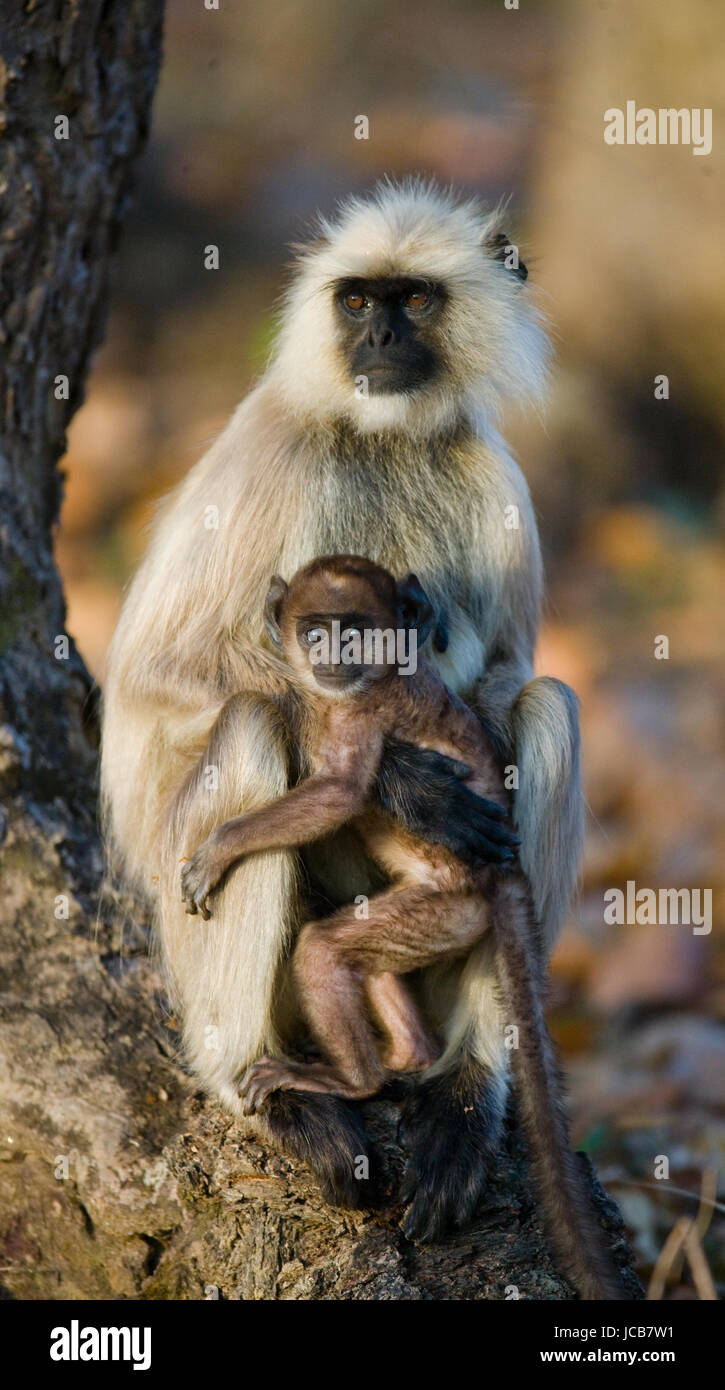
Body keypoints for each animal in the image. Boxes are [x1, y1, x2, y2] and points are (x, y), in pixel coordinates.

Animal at [102, 179, 580, 1245]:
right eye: (357, 301)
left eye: (413, 298)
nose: (380, 338)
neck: (384, 437)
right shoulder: (269, 450)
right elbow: (160, 677)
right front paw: (406, 781)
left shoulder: (494, 479)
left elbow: (506, 673)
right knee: (248, 728)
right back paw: (263, 1083)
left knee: (550, 707)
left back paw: (465, 1087)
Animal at [179, 556, 619, 1301]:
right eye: (315, 630)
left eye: (354, 632)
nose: (331, 657)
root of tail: (503, 873)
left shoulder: (359, 711)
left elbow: (340, 794)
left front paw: (222, 846)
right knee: (364, 961)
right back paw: (407, 1058)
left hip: (450, 911)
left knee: (321, 949)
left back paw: (354, 1082)